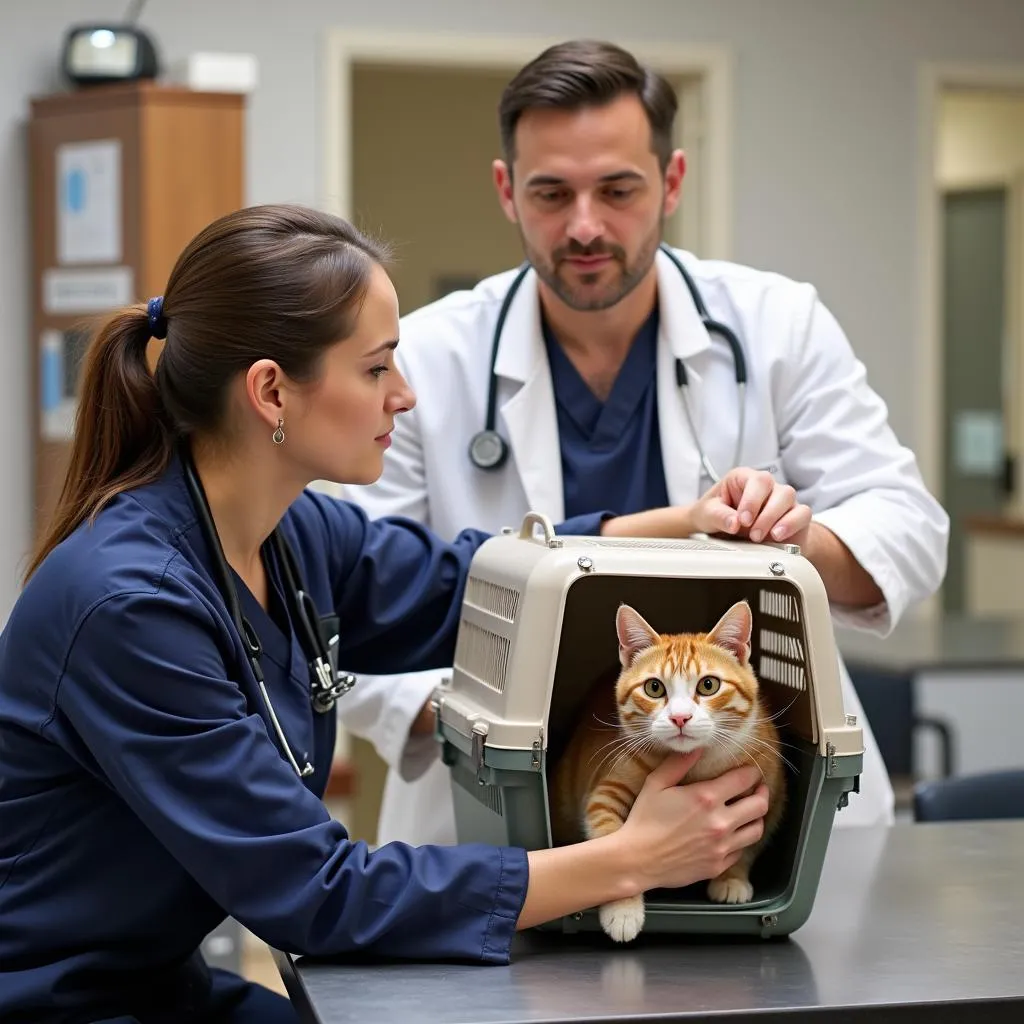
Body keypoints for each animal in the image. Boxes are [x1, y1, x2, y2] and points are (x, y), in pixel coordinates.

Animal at [552, 598, 782, 942]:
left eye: (709, 685)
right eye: (654, 688)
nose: (680, 718)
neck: (696, 767)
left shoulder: (768, 794)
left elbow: (748, 844)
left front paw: (731, 877)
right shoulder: (607, 791)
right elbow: (613, 846)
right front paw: (624, 909)